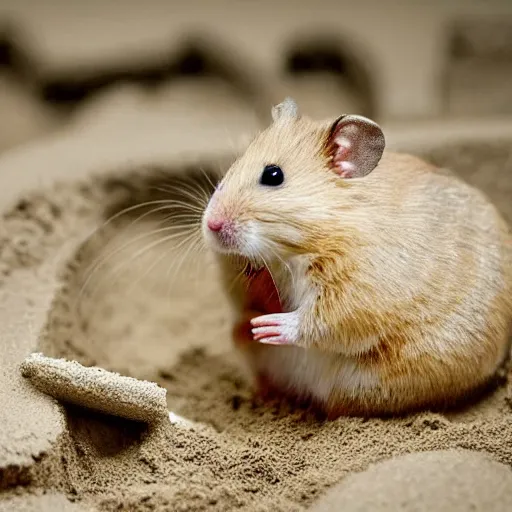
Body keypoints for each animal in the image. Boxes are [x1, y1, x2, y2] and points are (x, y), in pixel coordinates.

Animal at [201, 98, 512, 418]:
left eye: (273, 175)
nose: (211, 226)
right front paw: (253, 321)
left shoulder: (358, 291)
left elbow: (323, 320)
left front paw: (269, 327)